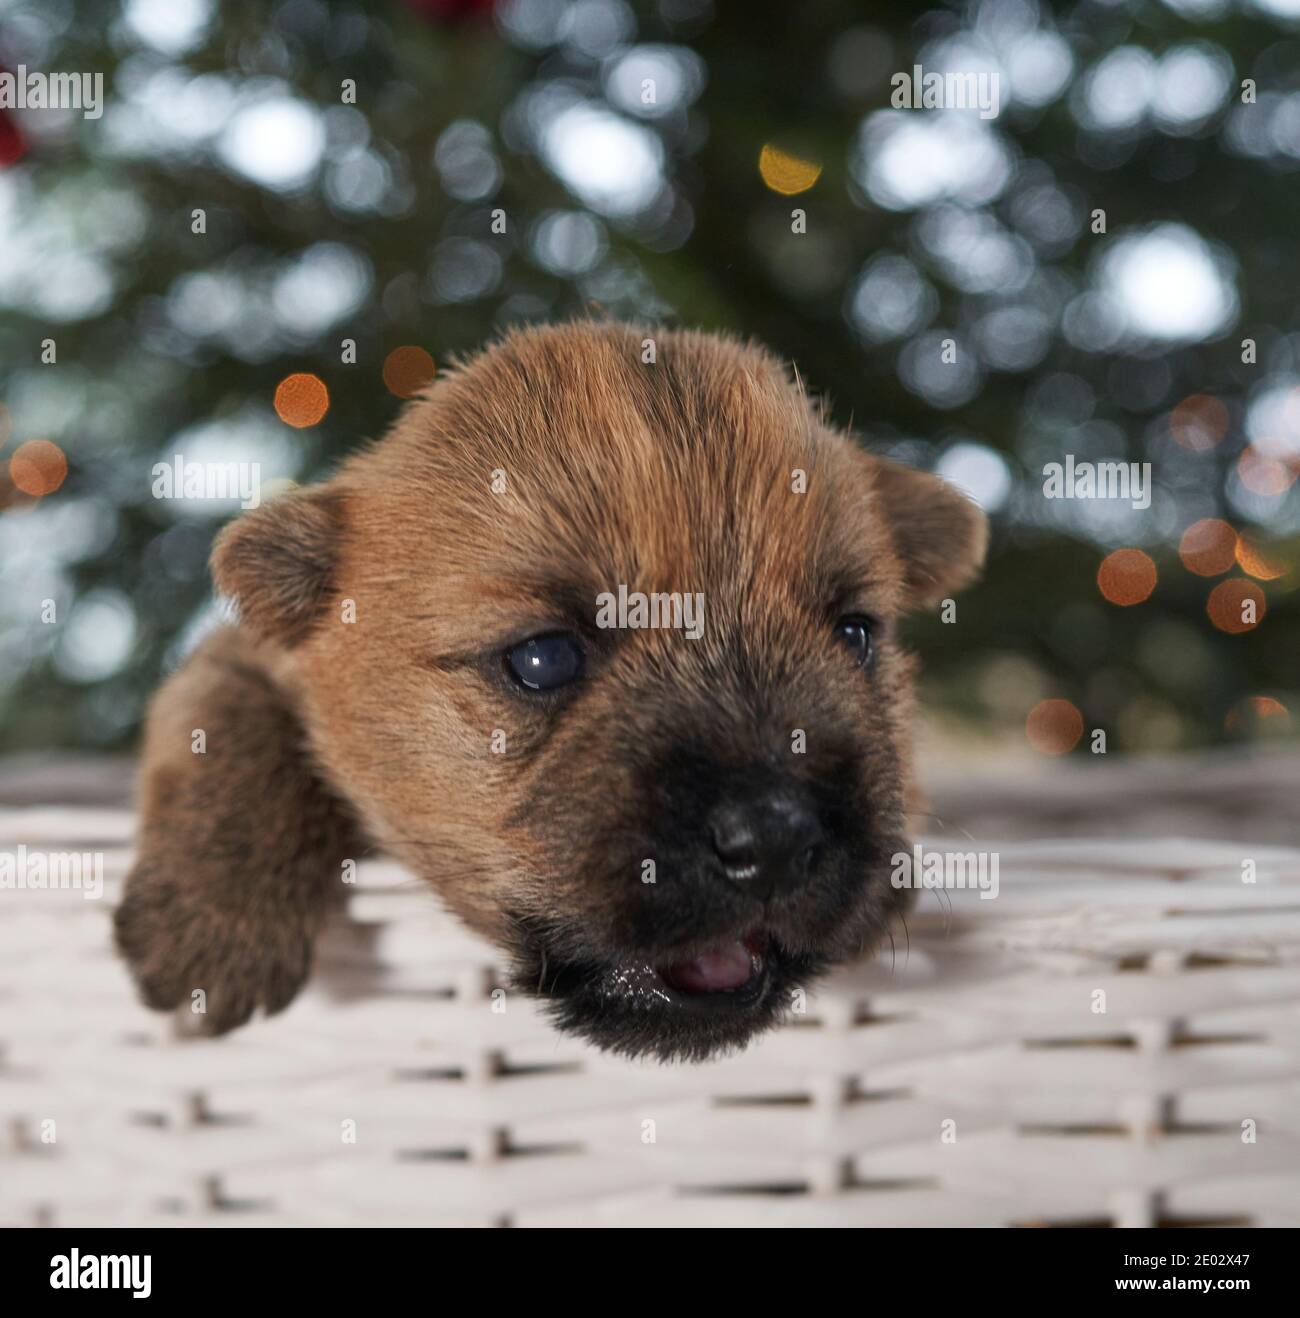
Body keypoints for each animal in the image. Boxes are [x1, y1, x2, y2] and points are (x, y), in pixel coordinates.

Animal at [114, 324, 980, 1064]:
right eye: (542, 658)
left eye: (855, 635)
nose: (772, 836)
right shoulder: (249, 659)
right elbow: (231, 724)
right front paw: (217, 921)